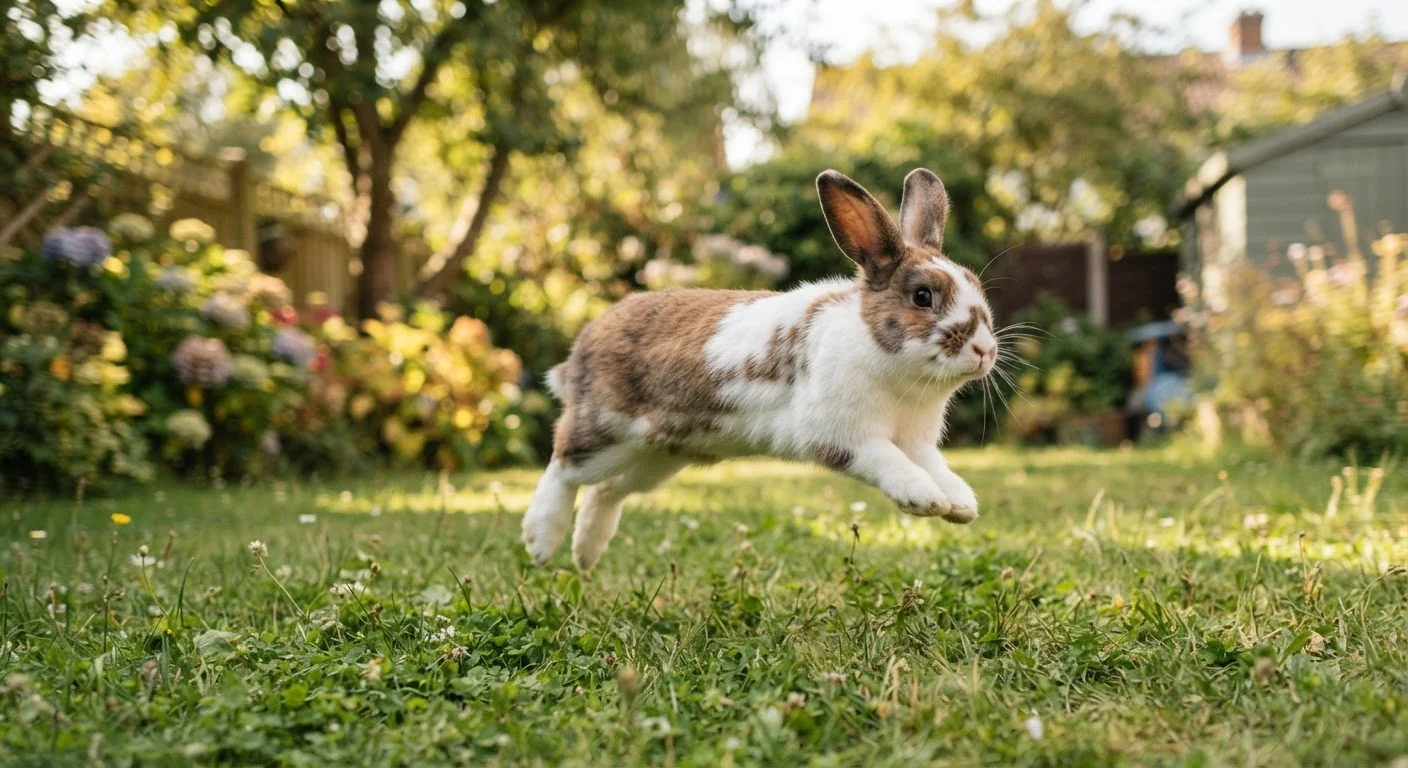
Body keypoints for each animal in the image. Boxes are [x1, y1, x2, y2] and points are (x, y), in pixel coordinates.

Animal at [522, 168, 999, 570]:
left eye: (976, 286)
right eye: (922, 296)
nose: (985, 350)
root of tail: (585, 341)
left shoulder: (917, 441)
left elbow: (938, 468)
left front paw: (959, 505)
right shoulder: (845, 436)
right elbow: (893, 464)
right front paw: (925, 499)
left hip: (655, 457)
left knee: (607, 489)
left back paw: (586, 552)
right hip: (606, 428)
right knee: (563, 464)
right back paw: (540, 541)